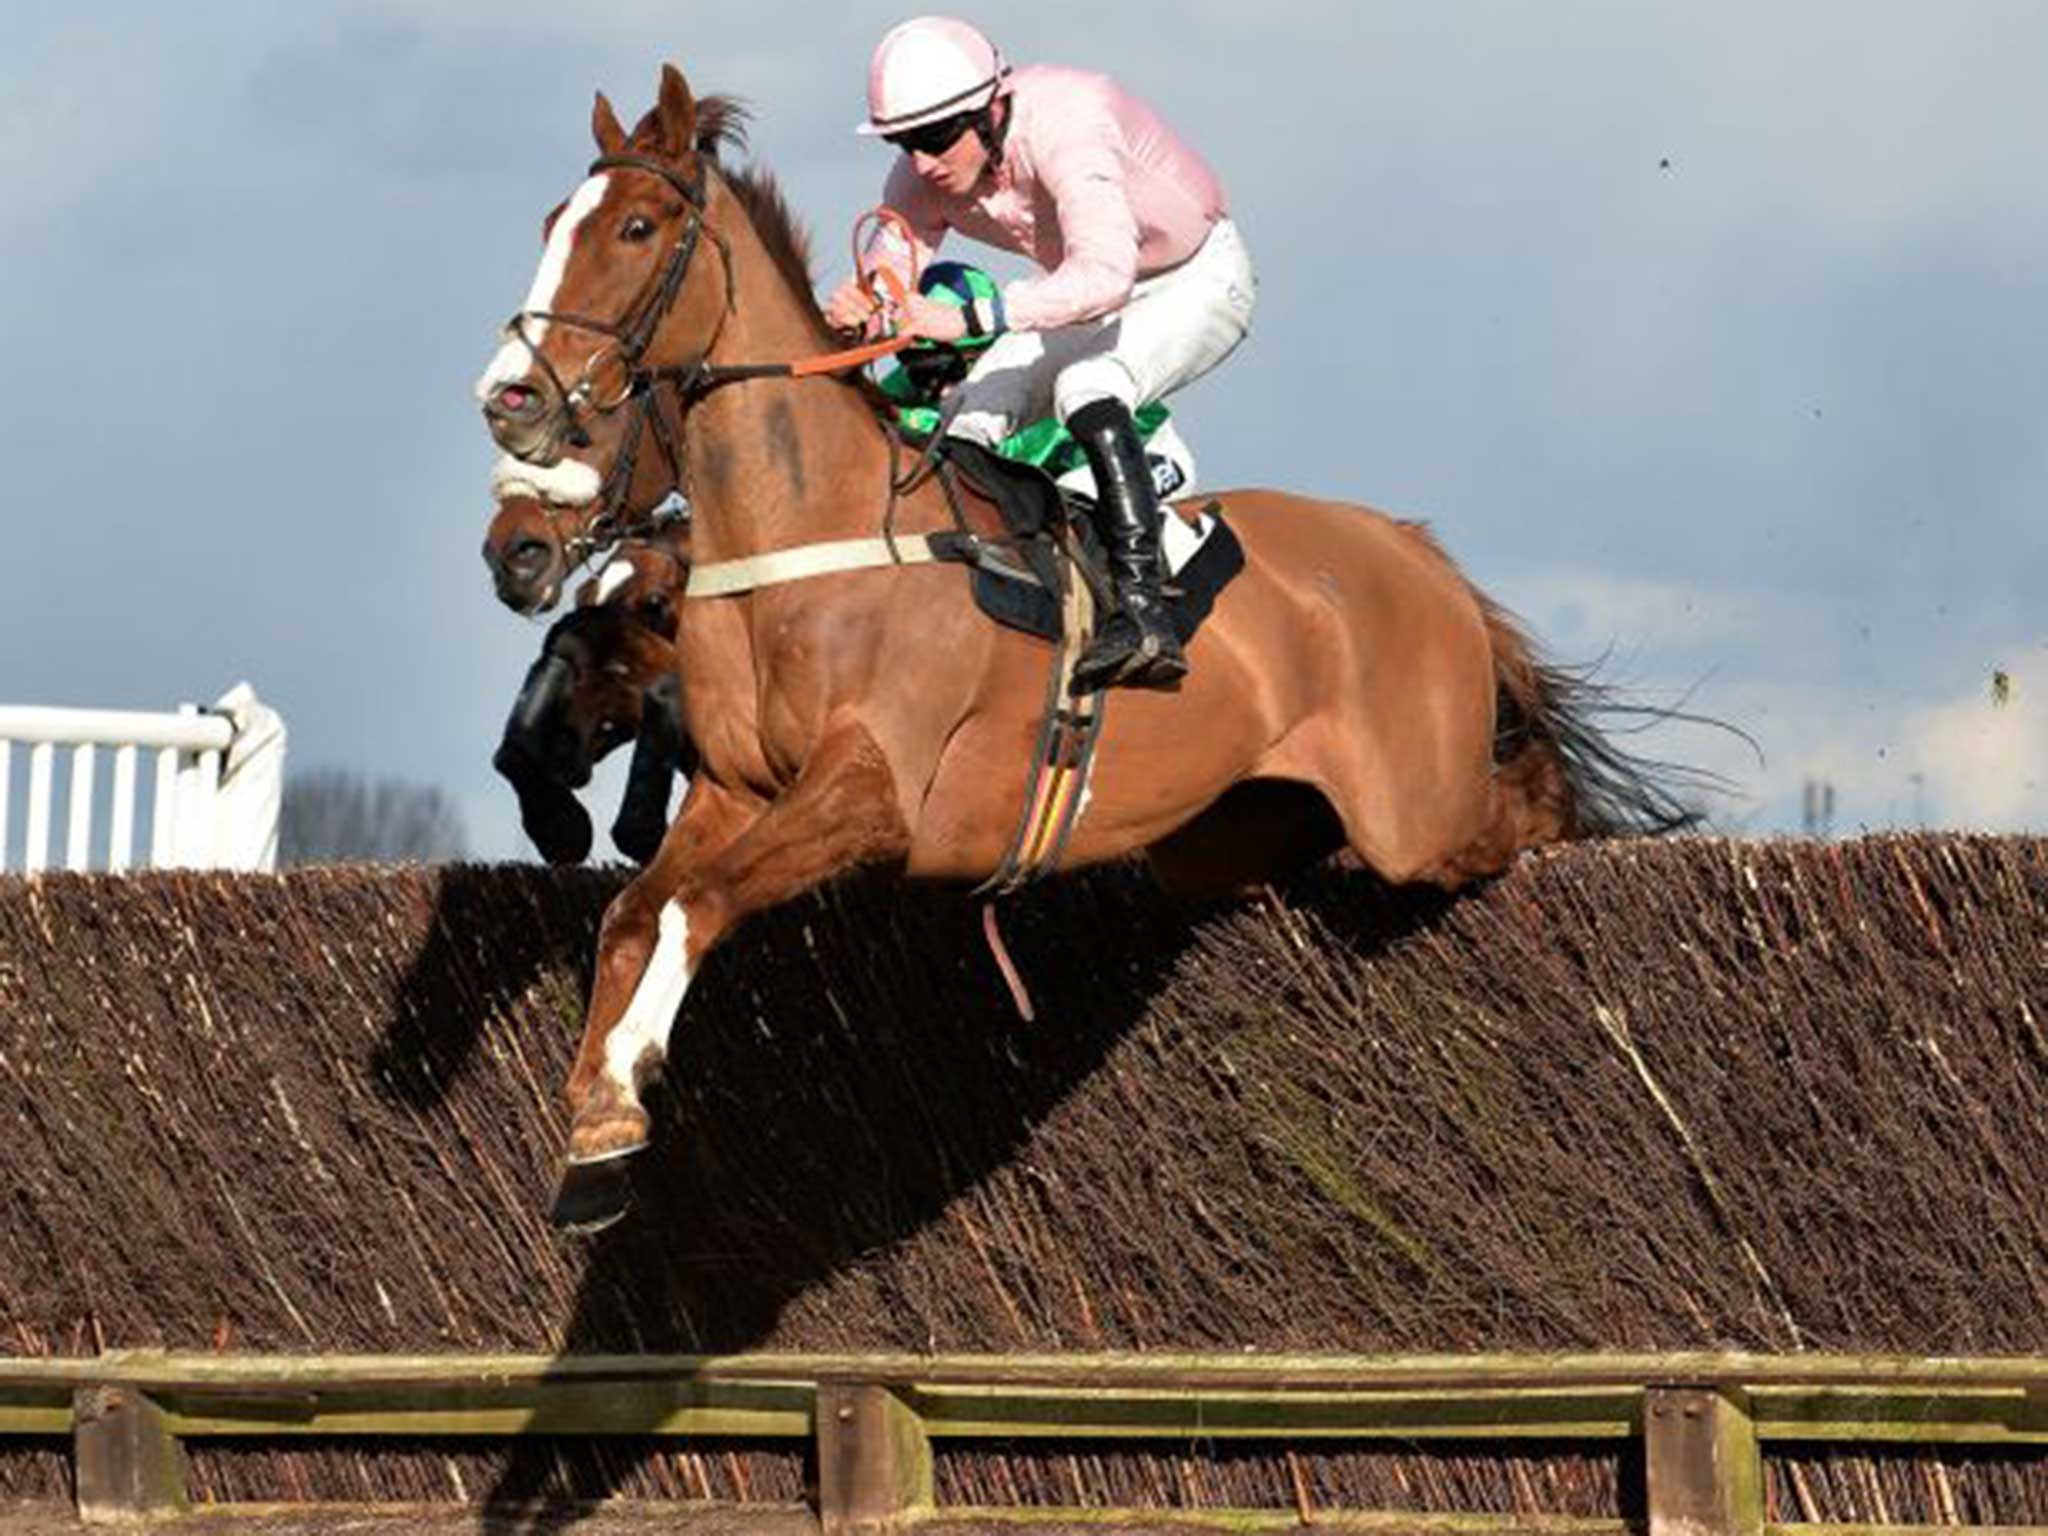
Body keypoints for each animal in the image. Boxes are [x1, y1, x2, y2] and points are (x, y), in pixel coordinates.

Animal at [475, 72, 1695, 1236]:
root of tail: (1411, 548)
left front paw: (621, 1092)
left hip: (1419, 814)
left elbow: (696, 905)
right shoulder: (738, 790)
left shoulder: (873, 798)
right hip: (1227, 834)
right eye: (548, 221)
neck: (818, 538)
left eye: (635, 227)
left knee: (1524, 807)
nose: (508, 402)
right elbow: (635, 912)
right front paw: (596, 1132)